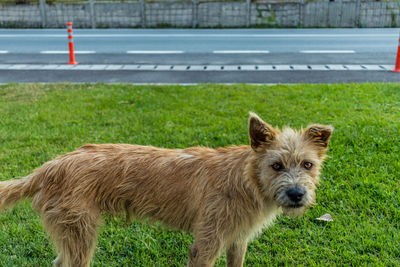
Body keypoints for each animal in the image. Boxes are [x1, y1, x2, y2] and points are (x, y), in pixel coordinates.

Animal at [0, 113, 332, 267]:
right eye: (276, 165)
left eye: (307, 164)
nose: (296, 195)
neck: (246, 180)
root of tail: (48, 167)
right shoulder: (206, 245)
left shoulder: (237, 241)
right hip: (81, 236)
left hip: (72, 236)